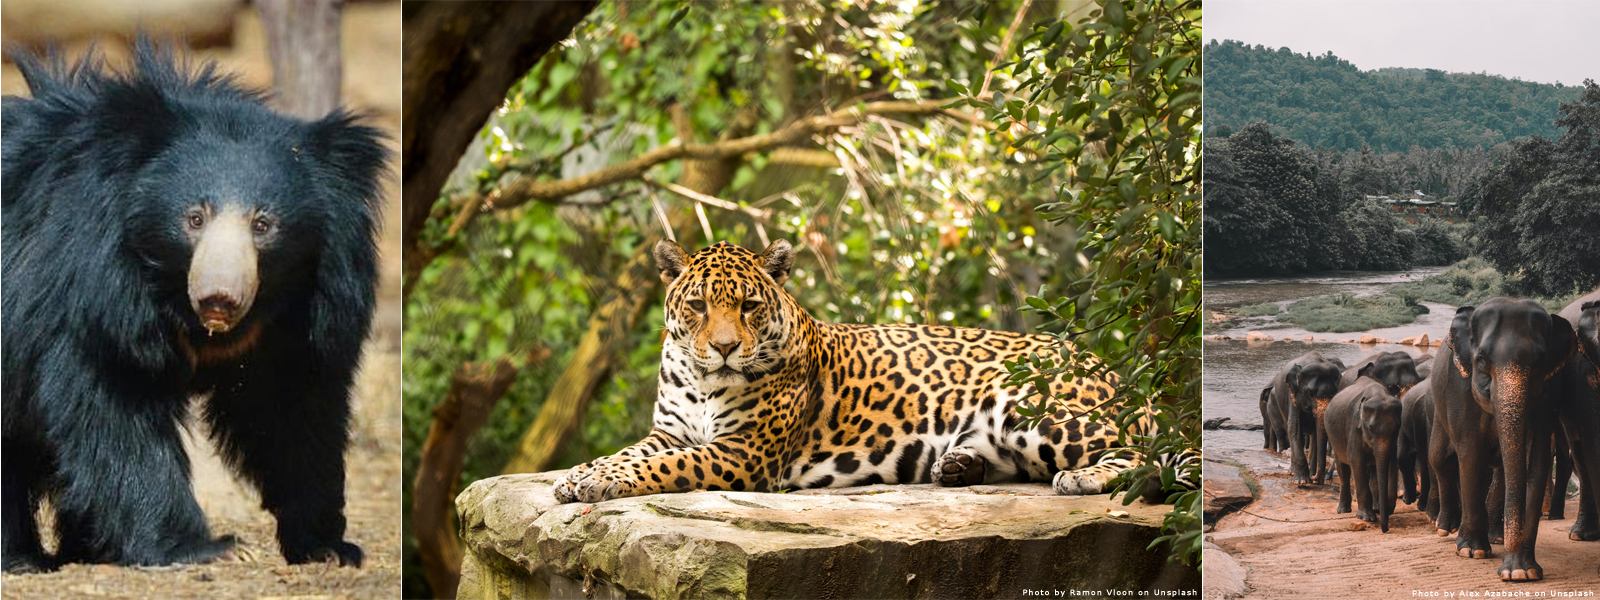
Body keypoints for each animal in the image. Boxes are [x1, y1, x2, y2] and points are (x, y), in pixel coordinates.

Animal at [1, 43, 387, 572]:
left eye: (263, 224)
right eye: (194, 218)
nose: (218, 297)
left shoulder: (306, 313)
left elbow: (293, 413)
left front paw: (326, 545)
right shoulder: (91, 291)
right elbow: (114, 405)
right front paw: (200, 547)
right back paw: (22, 557)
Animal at [1267, 352, 1344, 483]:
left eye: (1334, 394)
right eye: (1310, 393)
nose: (1315, 477)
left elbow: (1316, 433)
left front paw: (1313, 479)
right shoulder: (1292, 395)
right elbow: (1294, 428)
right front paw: (1302, 481)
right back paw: (1292, 472)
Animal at [1324, 377, 1401, 534]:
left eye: (1398, 428)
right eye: (1370, 428)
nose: (1385, 530)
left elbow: (1389, 463)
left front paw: (1384, 509)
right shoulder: (1354, 427)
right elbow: (1356, 461)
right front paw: (1367, 518)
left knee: (1373, 469)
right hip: (1334, 437)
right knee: (1343, 469)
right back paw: (1343, 510)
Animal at [1427, 300, 1574, 582]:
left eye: (1540, 361)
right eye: (1481, 359)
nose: (1511, 542)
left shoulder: (1549, 393)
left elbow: (1535, 462)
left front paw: (1521, 571)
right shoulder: (1459, 387)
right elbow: (1470, 456)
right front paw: (1472, 552)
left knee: (1503, 472)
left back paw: (1496, 537)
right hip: (1438, 406)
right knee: (1440, 459)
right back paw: (1445, 529)